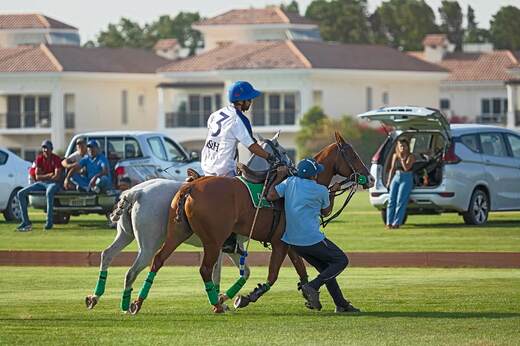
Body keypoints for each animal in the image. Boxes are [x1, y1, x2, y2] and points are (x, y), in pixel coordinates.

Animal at [130, 132, 374, 314]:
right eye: (352, 154)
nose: (370, 178)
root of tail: (190, 186)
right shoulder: (280, 242)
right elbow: (273, 276)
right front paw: (245, 297)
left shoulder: (290, 243)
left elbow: (302, 270)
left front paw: (312, 296)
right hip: (213, 240)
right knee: (204, 268)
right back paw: (217, 305)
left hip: (177, 233)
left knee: (158, 260)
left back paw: (136, 303)